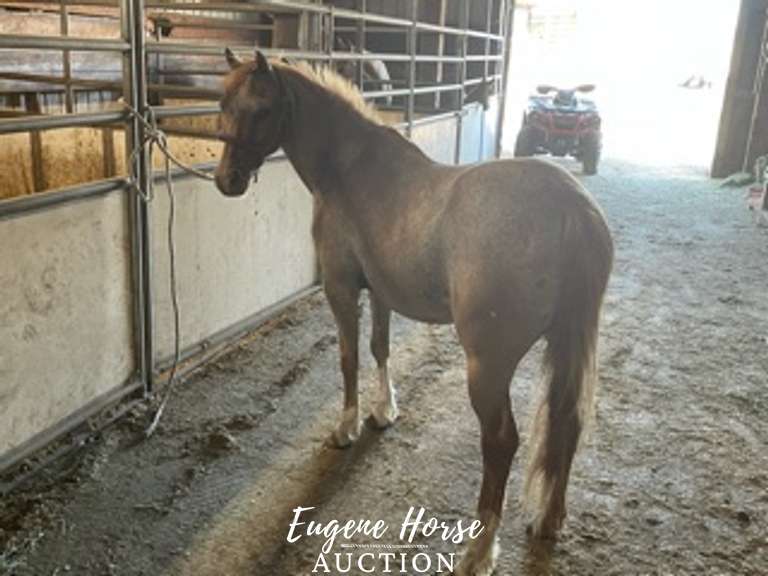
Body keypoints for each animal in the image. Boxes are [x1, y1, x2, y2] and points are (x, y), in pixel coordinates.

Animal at [215, 49, 613, 576]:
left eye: (261, 110)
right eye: (222, 102)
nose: (227, 181)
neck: (350, 169)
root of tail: (572, 206)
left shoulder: (341, 289)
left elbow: (348, 358)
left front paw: (346, 427)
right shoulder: (382, 290)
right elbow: (379, 348)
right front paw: (384, 411)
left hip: (488, 365)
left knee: (501, 441)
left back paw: (479, 551)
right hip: (567, 347)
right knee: (568, 422)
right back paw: (547, 520)